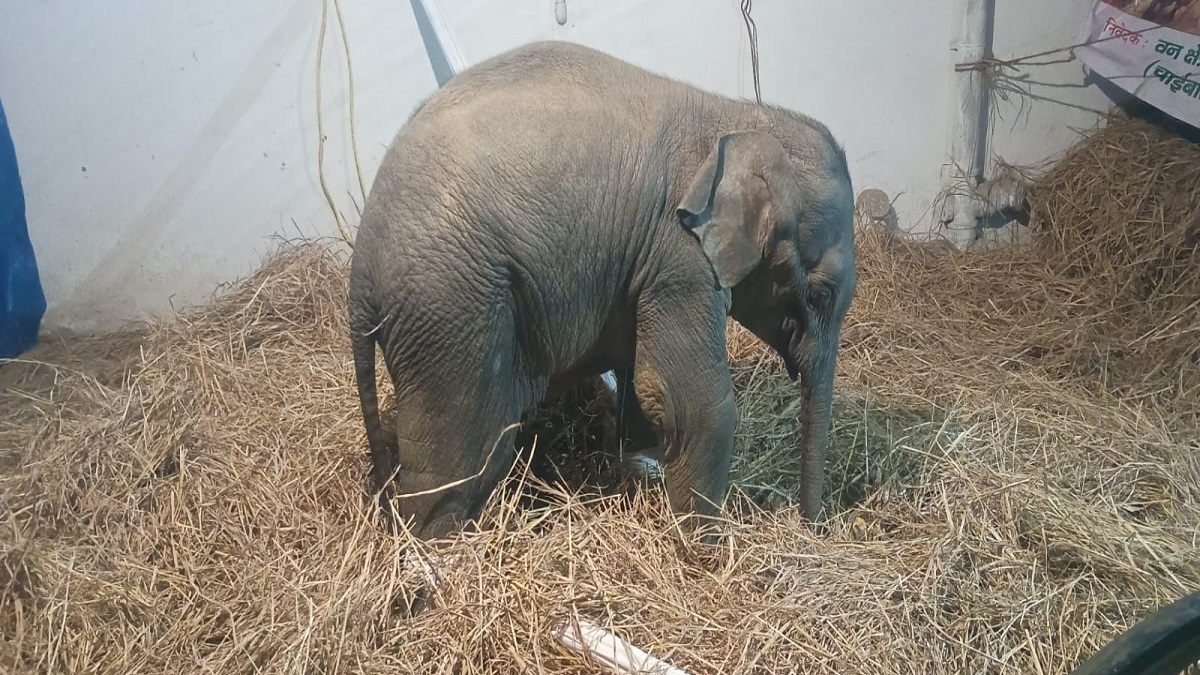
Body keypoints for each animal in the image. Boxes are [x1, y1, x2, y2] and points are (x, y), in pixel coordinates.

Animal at [348, 40, 857, 540]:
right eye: (822, 293)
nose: (814, 529)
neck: (737, 118)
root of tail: (359, 273)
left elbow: (645, 381)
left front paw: (640, 466)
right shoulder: (678, 257)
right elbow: (693, 404)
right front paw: (703, 547)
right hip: (451, 312)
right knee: (463, 457)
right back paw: (437, 549)